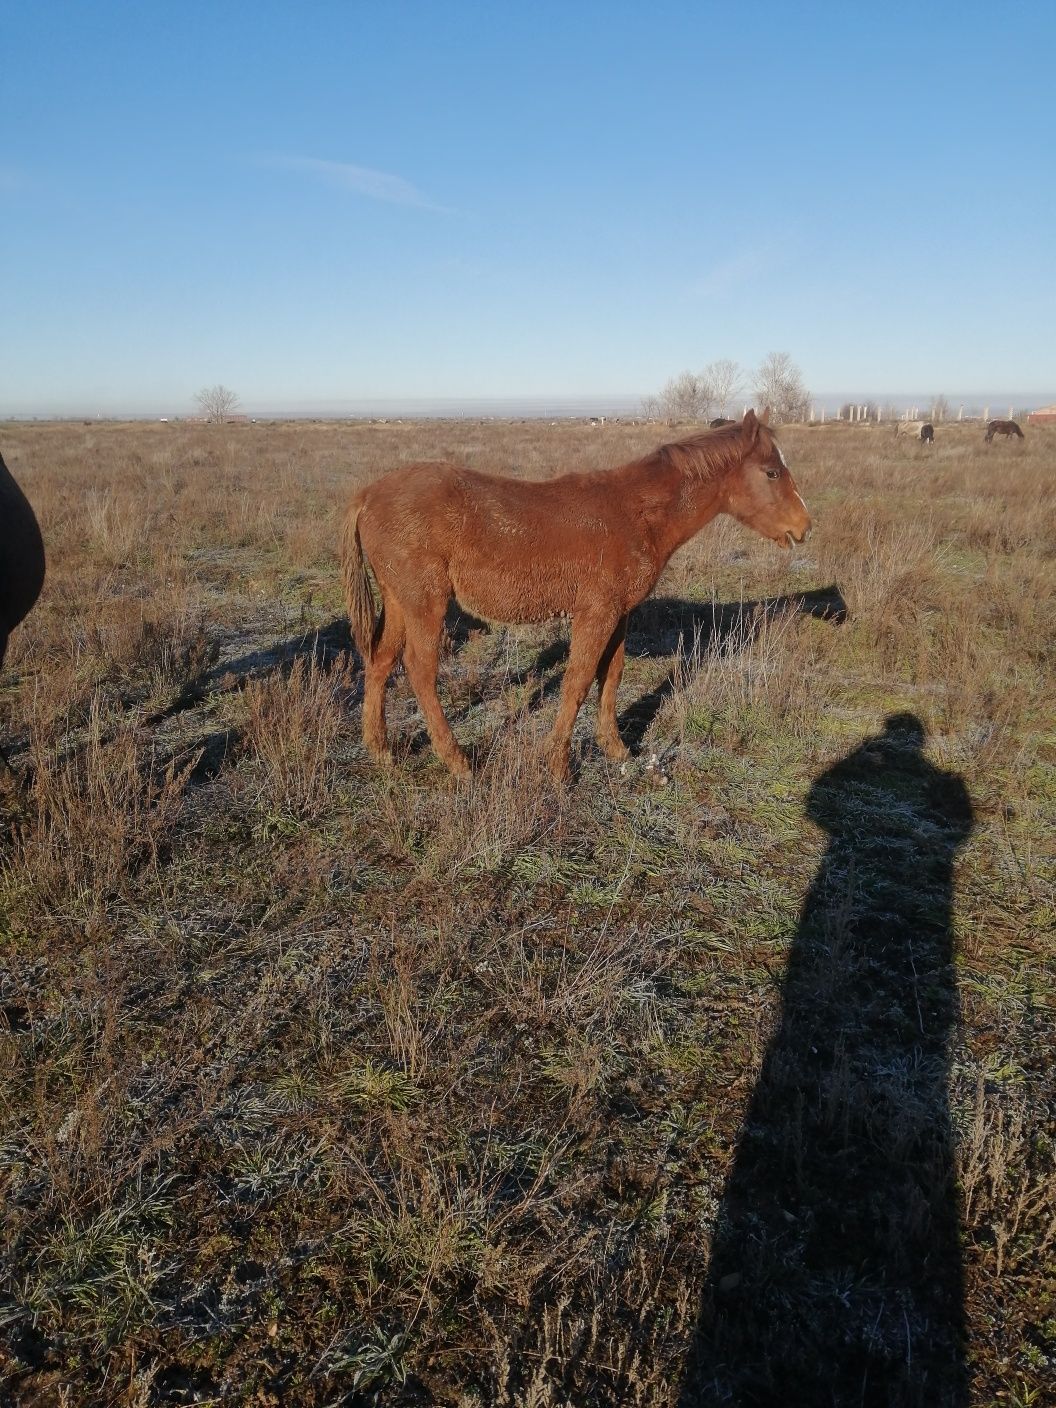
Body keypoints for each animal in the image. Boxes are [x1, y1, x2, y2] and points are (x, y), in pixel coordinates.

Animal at [343, 408, 816, 782]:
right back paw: (457, 761)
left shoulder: (619, 614)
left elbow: (612, 675)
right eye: (772, 472)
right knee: (420, 671)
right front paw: (558, 766)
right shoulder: (595, 614)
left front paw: (616, 749)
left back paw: (380, 751)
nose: (804, 527)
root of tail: (367, 495)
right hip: (426, 603)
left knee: (381, 662)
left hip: (400, 601)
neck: (636, 514)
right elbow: (578, 682)